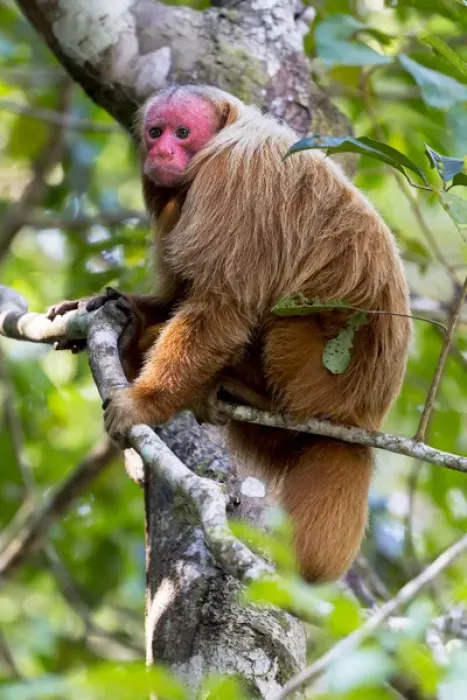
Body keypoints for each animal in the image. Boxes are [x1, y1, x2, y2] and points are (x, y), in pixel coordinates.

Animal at [48, 84, 411, 582]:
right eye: (156, 131)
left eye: (183, 133)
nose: (162, 152)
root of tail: (362, 421)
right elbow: (181, 290)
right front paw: (117, 307)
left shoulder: (236, 178)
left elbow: (225, 304)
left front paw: (146, 402)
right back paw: (139, 340)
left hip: (322, 377)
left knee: (283, 315)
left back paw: (248, 393)